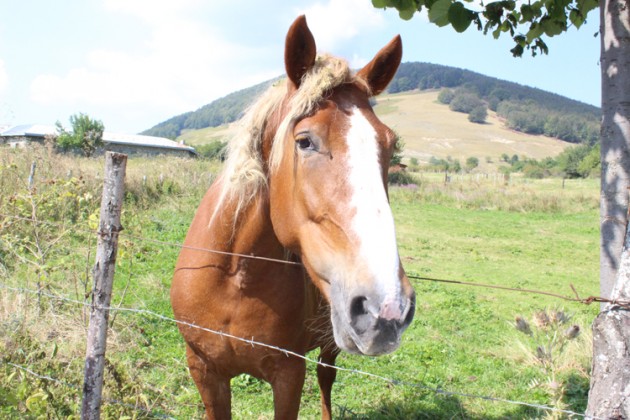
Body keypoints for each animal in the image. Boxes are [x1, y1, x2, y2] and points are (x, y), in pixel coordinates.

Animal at [172, 15, 420, 420]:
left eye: (389, 144)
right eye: (304, 141)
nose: (388, 307)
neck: (234, 277)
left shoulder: (288, 374)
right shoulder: (204, 371)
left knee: (326, 377)